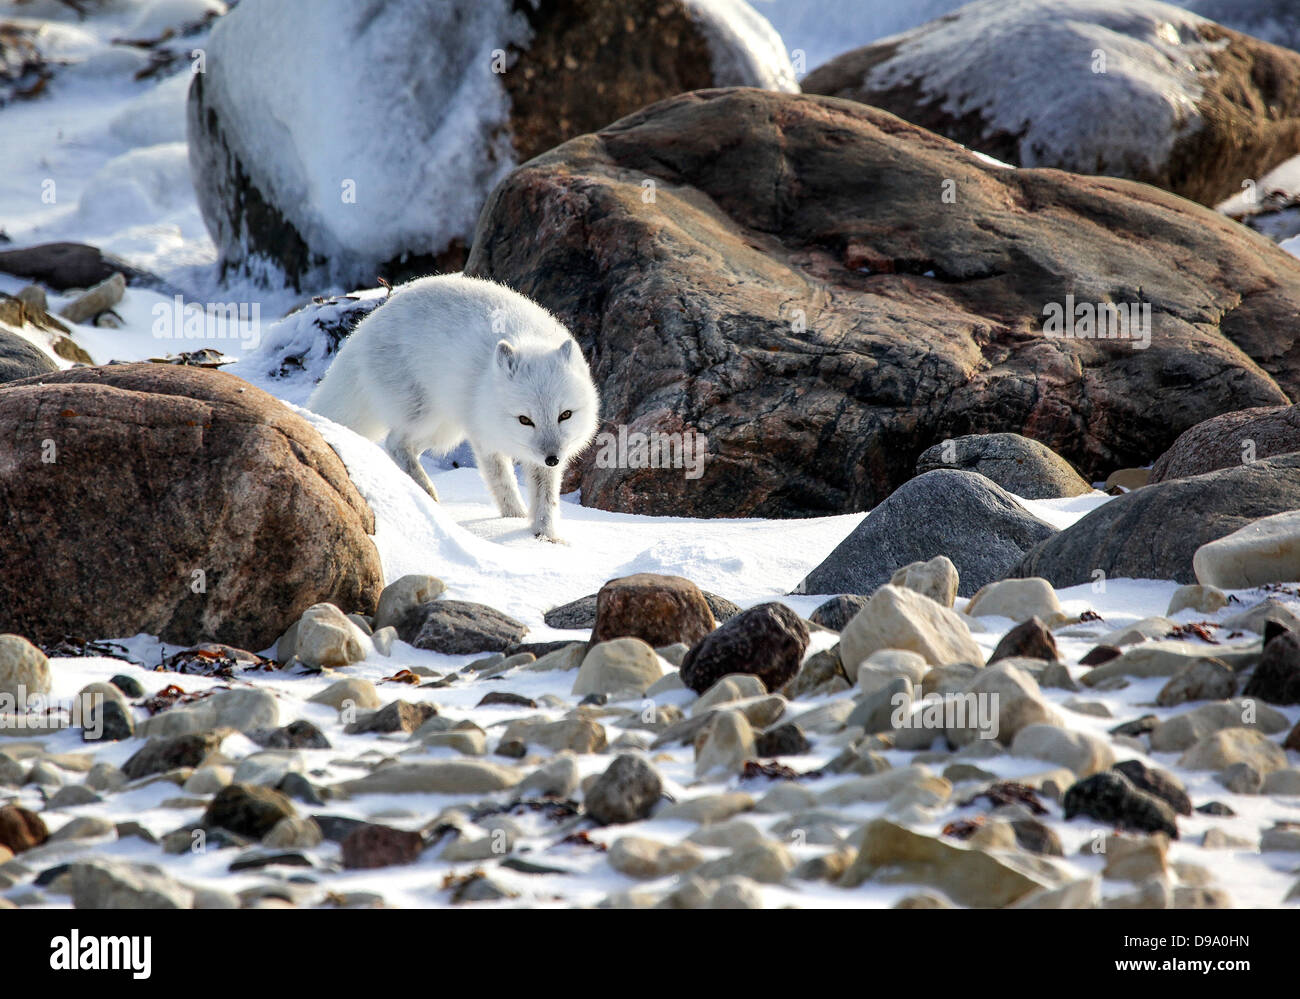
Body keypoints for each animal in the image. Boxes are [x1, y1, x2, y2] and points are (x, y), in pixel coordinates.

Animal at [309, 273, 598, 541]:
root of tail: (366, 325)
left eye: (565, 415)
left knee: (402, 447)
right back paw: (428, 495)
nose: (553, 458)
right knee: (394, 444)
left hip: (445, 430)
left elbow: (546, 499)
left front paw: (546, 537)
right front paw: (513, 519)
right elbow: (503, 483)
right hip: (426, 417)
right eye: (525, 420)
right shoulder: (483, 438)